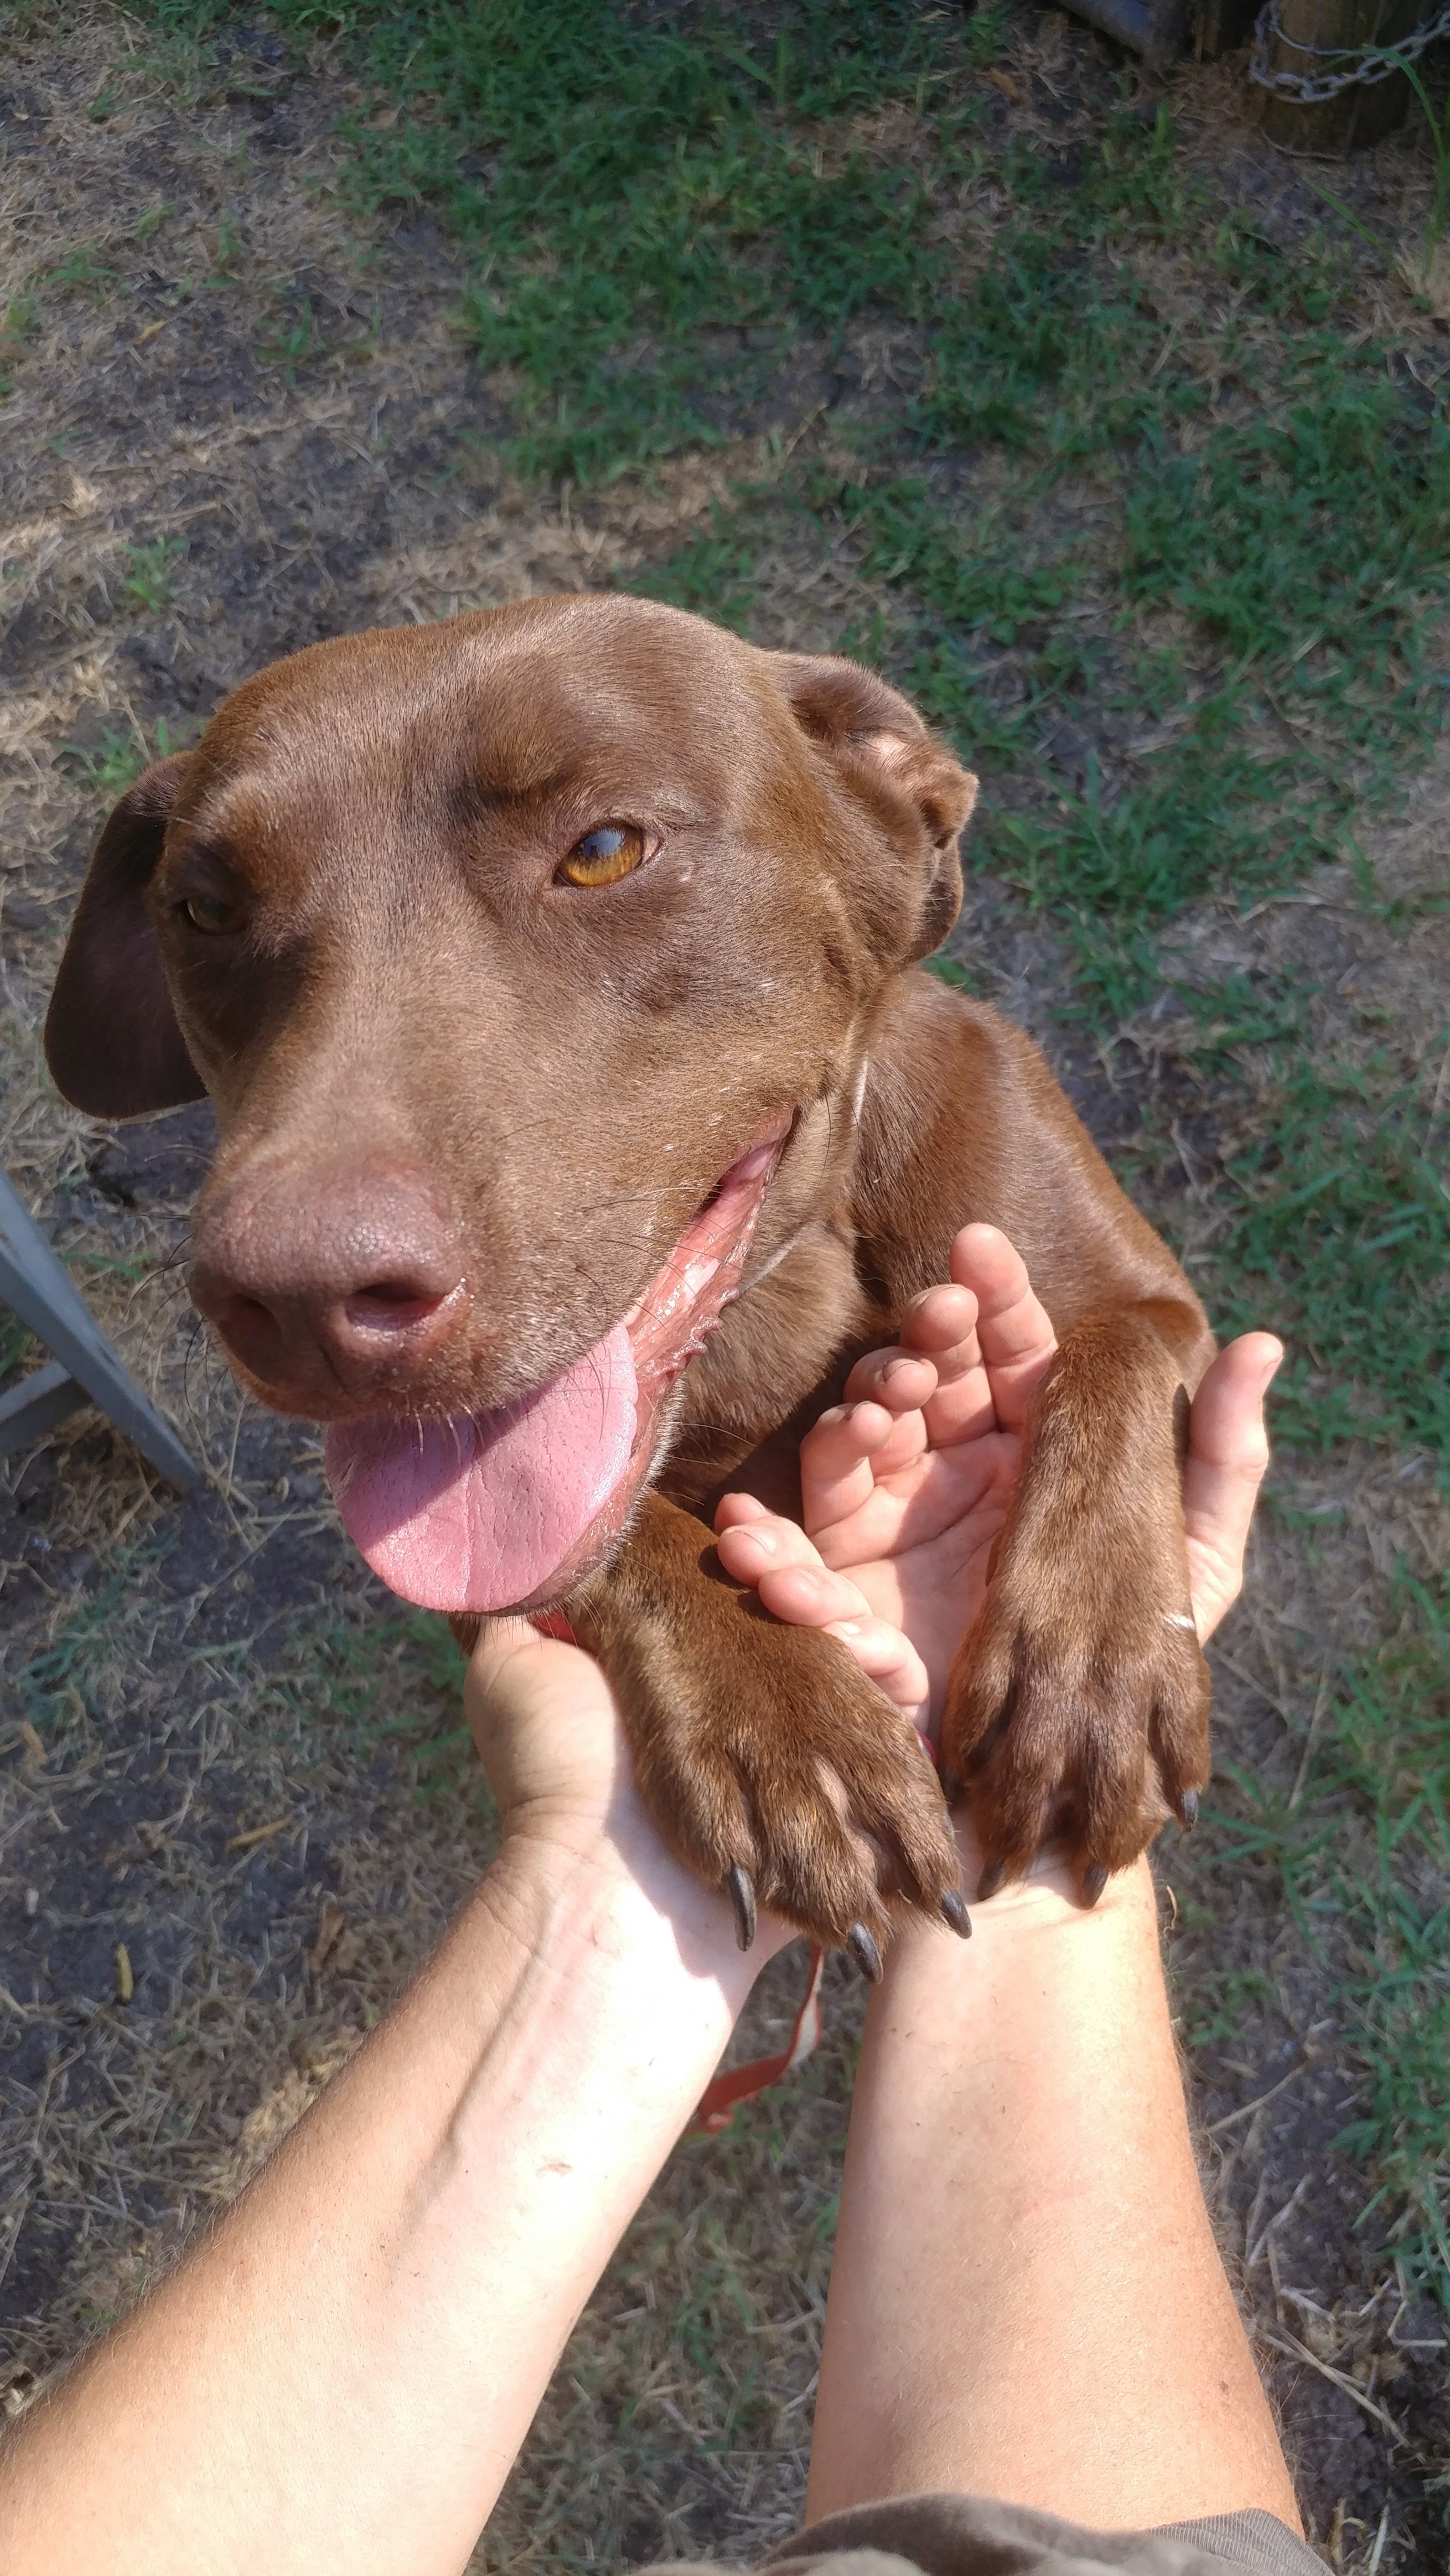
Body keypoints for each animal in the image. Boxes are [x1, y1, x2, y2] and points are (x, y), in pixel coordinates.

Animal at [48, 598, 1215, 1968]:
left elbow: (1108, 1361)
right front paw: (784, 1717)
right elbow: (605, 1541)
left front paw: (1084, 1676)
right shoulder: (479, 1583)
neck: (790, 1284)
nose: (295, 1302)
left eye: (604, 850)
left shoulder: (1147, 1299)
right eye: (203, 911)